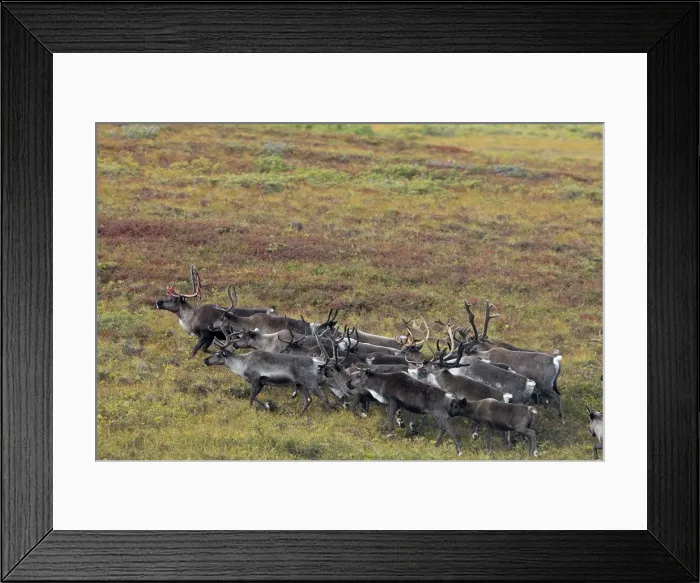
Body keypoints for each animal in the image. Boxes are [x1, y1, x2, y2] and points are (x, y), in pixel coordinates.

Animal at [203, 326, 332, 414]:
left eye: (218, 354)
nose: (205, 360)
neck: (242, 363)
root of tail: (318, 363)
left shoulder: (256, 379)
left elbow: (251, 397)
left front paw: (260, 407)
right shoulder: (262, 382)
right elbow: (254, 396)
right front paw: (267, 406)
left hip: (311, 383)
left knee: (323, 397)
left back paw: (328, 413)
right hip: (300, 384)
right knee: (308, 400)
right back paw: (299, 415)